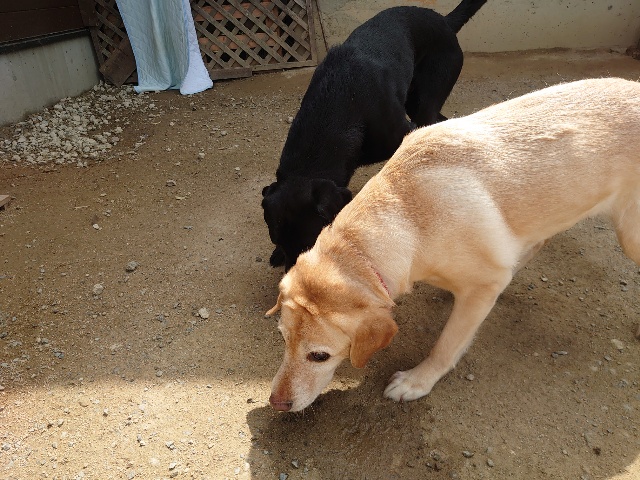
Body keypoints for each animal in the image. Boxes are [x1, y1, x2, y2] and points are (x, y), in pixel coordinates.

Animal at [261, 0, 487, 271]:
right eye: (278, 241)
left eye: (311, 244)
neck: (340, 102)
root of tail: (444, 21)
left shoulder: (403, 133)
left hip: (425, 102)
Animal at [266, 77, 640, 412]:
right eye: (282, 339)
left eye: (319, 356)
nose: (277, 404)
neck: (406, 213)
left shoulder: (481, 288)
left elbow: (446, 346)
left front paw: (417, 381)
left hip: (630, 236)